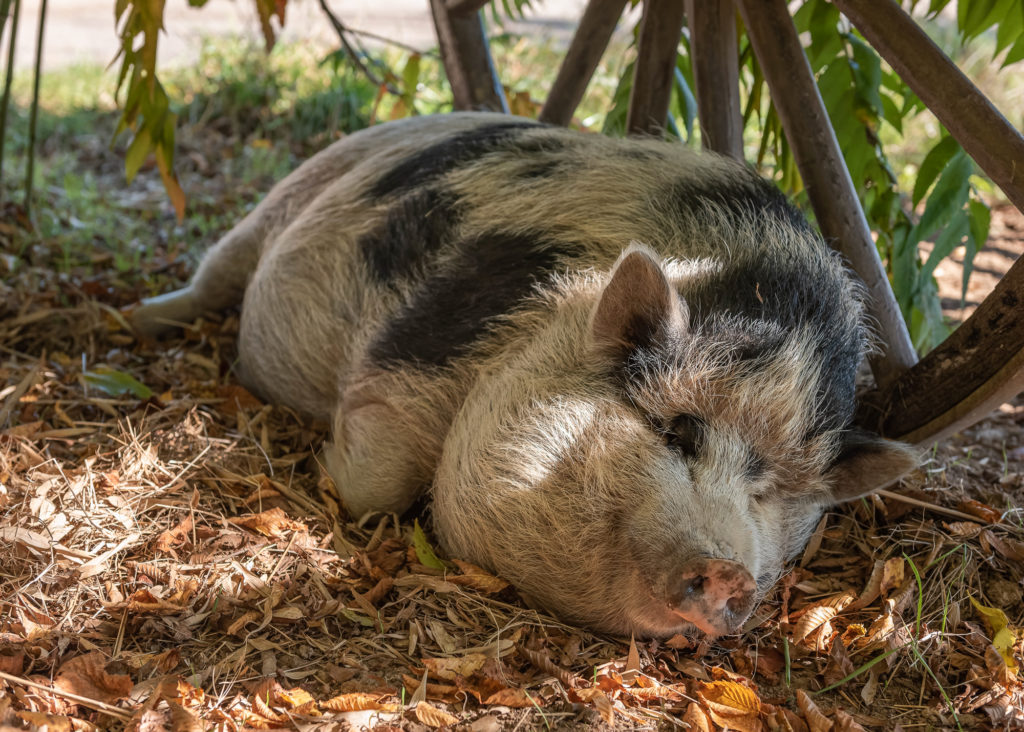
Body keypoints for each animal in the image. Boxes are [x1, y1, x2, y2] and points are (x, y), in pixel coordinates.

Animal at [130, 111, 921, 638]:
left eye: (771, 494)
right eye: (678, 433)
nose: (730, 570)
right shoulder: (419, 351)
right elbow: (370, 489)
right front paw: (327, 469)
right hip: (283, 197)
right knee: (212, 272)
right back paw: (133, 316)